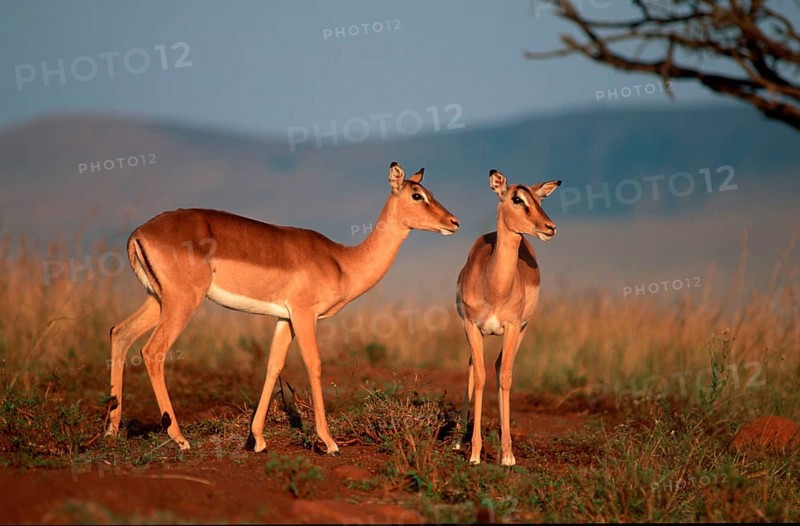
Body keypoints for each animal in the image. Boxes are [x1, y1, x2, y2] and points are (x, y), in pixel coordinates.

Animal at [105, 162, 460, 455]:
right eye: (417, 195)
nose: (454, 222)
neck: (342, 262)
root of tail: (139, 233)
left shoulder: (283, 318)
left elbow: (273, 365)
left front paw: (258, 440)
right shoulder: (304, 314)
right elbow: (314, 365)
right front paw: (329, 443)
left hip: (158, 300)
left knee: (119, 332)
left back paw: (111, 431)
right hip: (182, 302)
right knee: (153, 351)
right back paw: (179, 438)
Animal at [454, 169, 560, 465]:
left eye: (539, 198)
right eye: (517, 198)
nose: (550, 227)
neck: (494, 288)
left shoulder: (513, 327)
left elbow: (505, 379)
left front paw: (508, 455)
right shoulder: (472, 326)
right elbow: (479, 377)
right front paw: (474, 454)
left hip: (520, 331)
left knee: (501, 367)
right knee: (473, 366)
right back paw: (457, 441)